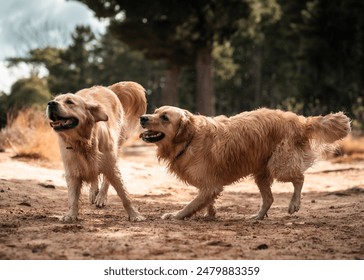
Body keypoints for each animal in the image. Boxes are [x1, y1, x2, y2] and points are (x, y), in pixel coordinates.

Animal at [47, 82, 146, 222]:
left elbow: (124, 195)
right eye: (55, 99)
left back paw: (101, 197)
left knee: (105, 179)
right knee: (94, 175)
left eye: (69, 102)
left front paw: (135, 215)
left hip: (115, 149)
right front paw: (70, 215)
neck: (82, 143)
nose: (50, 103)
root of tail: (105, 87)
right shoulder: (72, 170)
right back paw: (94, 193)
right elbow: (72, 197)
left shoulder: (111, 166)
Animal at [139, 106, 350, 220]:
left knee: (300, 178)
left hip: (279, 165)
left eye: (165, 117)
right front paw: (210, 213)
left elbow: (191, 205)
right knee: (269, 199)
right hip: (261, 172)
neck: (189, 139)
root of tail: (300, 120)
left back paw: (294, 204)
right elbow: (205, 200)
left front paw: (176, 215)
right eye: (155, 112)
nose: (143, 117)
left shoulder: (210, 184)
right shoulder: (209, 185)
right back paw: (258, 216)